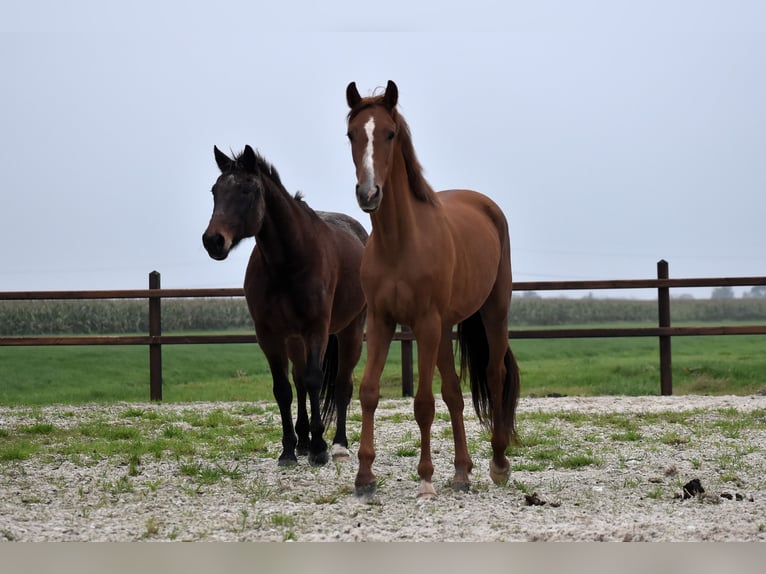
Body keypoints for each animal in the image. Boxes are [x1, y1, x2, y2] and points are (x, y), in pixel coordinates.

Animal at [202, 146, 370, 470]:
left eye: (247, 189)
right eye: (215, 190)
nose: (213, 240)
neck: (289, 262)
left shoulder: (317, 329)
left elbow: (316, 380)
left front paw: (319, 448)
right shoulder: (270, 335)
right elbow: (284, 389)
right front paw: (290, 450)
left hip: (350, 331)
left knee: (342, 384)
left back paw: (339, 445)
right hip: (295, 340)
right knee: (300, 381)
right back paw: (303, 441)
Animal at [346, 81, 520, 500]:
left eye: (390, 133)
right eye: (352, 134)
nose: (368, 194)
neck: (399, 242)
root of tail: (486, 206)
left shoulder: (424, 323)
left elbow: (423, 402)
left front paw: (425, 477)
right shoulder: (380, 322)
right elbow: (370, 392)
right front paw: (365, 476)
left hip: (492, 312)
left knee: (494, 375)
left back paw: (498, 462)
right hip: (444, 328)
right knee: (455, 393)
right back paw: (461, 472)